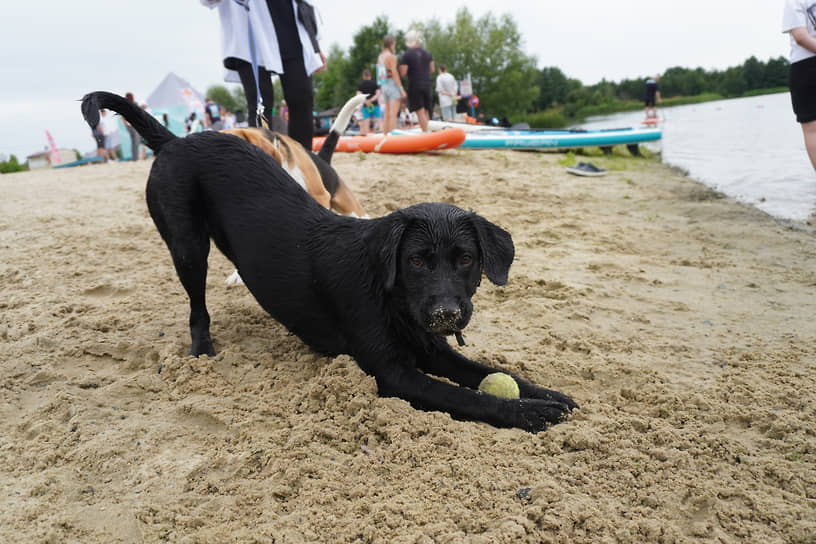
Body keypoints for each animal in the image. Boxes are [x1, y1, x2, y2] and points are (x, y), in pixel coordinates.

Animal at [81, 91, 572, 432]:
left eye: (466, 259)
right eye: (416, 261)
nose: (446, 314)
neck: (391, 298)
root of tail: (174, 140)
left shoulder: (433, 349)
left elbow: (492, 372)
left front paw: (548, 394)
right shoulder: (394, 375)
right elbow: (475, 397)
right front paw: (531, 412)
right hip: (186, 244)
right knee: (197, 307)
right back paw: (202, 352)